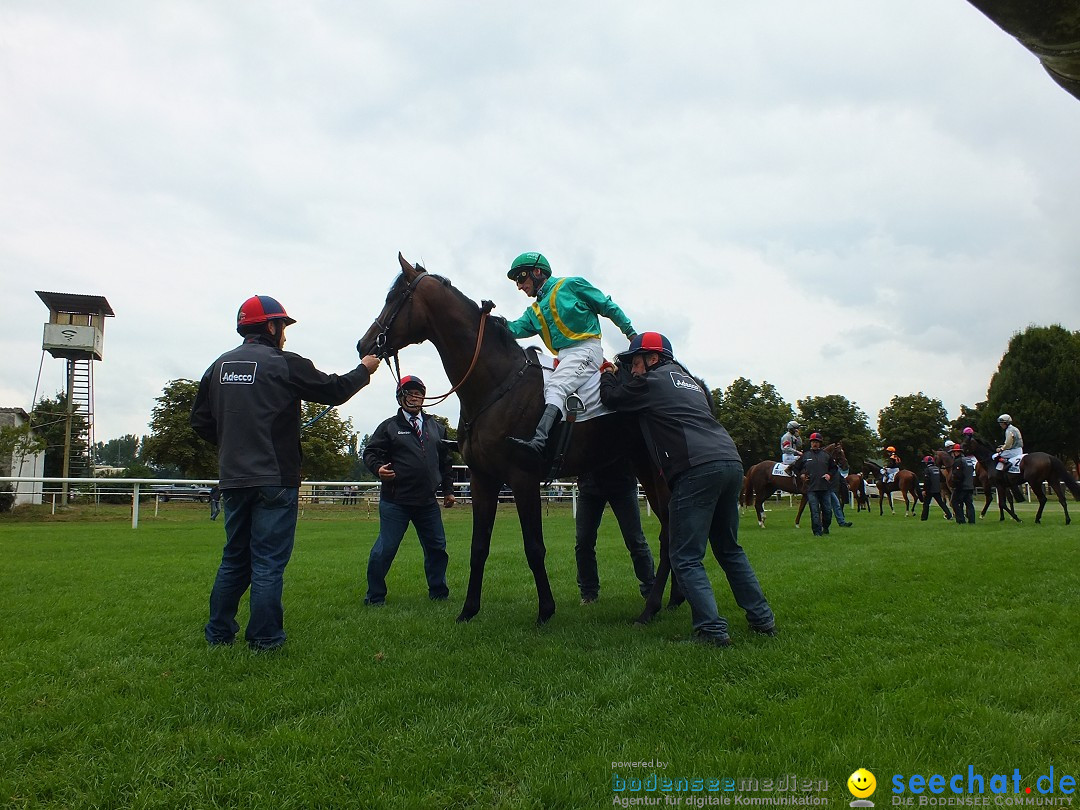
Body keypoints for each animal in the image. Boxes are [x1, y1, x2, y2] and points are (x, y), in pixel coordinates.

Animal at [356, 253, 673, 626]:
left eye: (393, 297)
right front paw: (468, 610)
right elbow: (478, 547)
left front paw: (545, 610)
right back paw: (672, 601)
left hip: (657, 471)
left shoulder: (523, 479)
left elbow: (534, 547)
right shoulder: (483, 479)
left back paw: (652, 607)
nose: (363, 344)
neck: (495, 383)